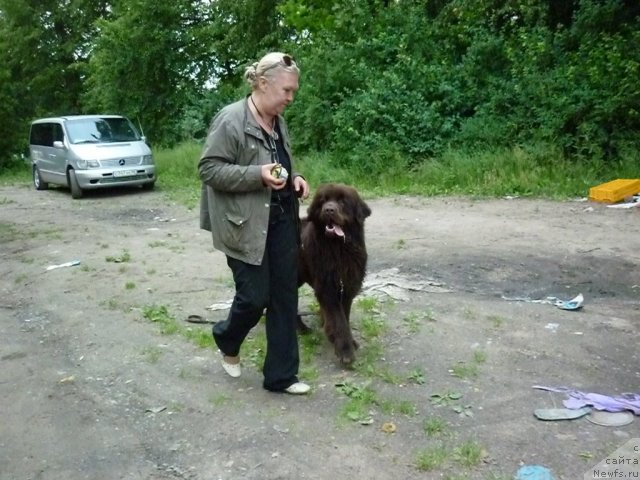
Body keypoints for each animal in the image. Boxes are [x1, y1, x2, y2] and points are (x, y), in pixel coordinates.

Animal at [298, 183, 372, 364]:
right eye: (322, 201)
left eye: (342, 201)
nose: (329, 210)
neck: (339, 250)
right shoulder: (327, 288)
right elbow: (339, 320)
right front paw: (345, 351)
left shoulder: (347, 286)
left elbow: (344, 315)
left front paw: (347, 341)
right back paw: (302, 328)